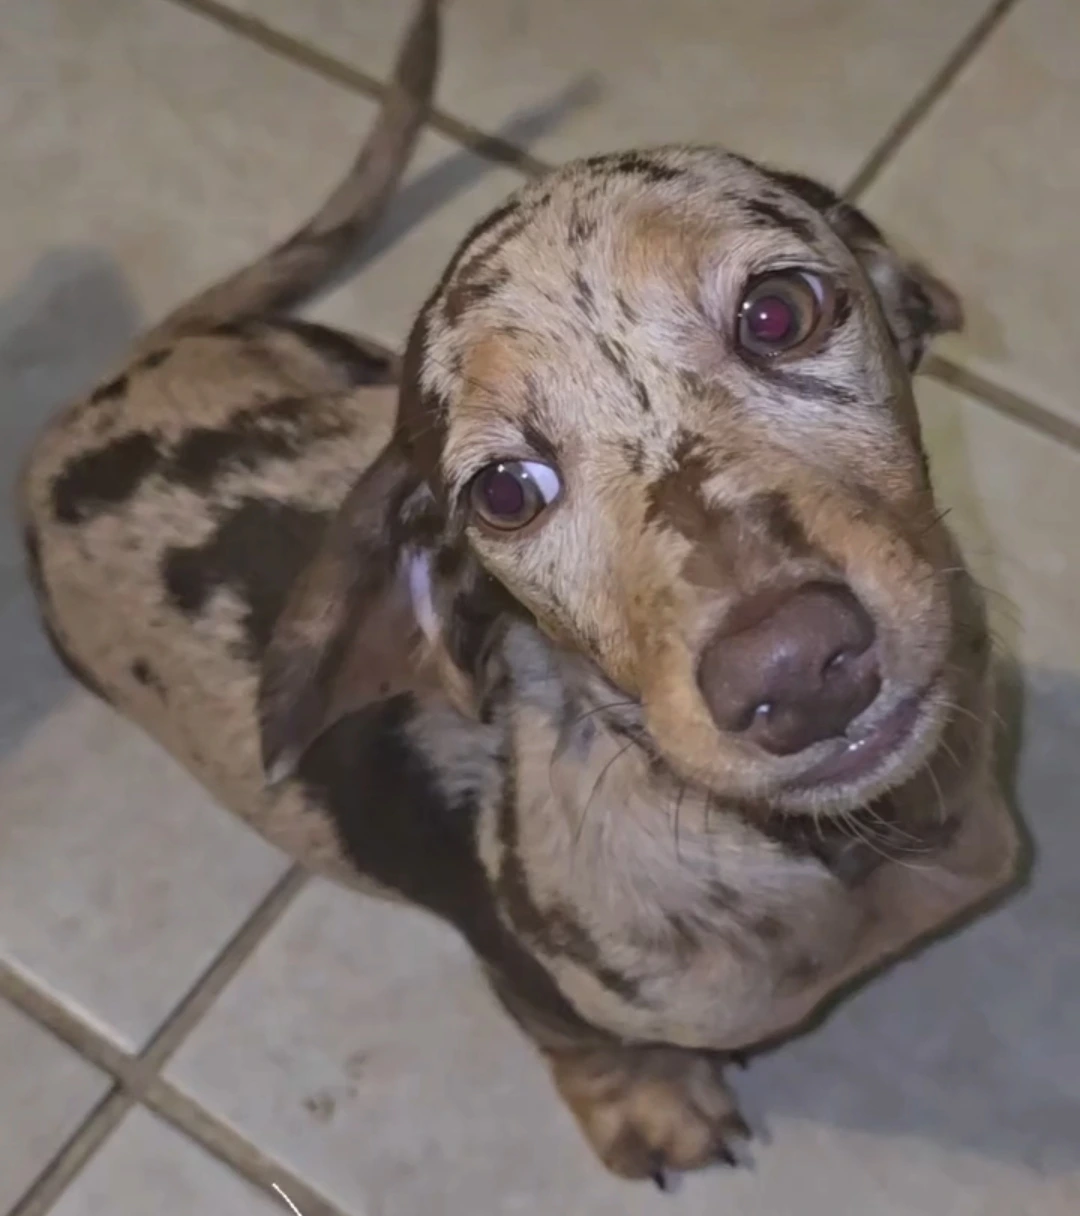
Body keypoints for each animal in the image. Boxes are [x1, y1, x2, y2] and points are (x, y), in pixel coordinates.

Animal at [18, 0, 1021, 1185]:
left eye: (780, 311)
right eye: (505, 491)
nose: (798, 669)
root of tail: (110, 380)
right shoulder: (529, 972)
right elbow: (579, 1041)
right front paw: (649, 1104)